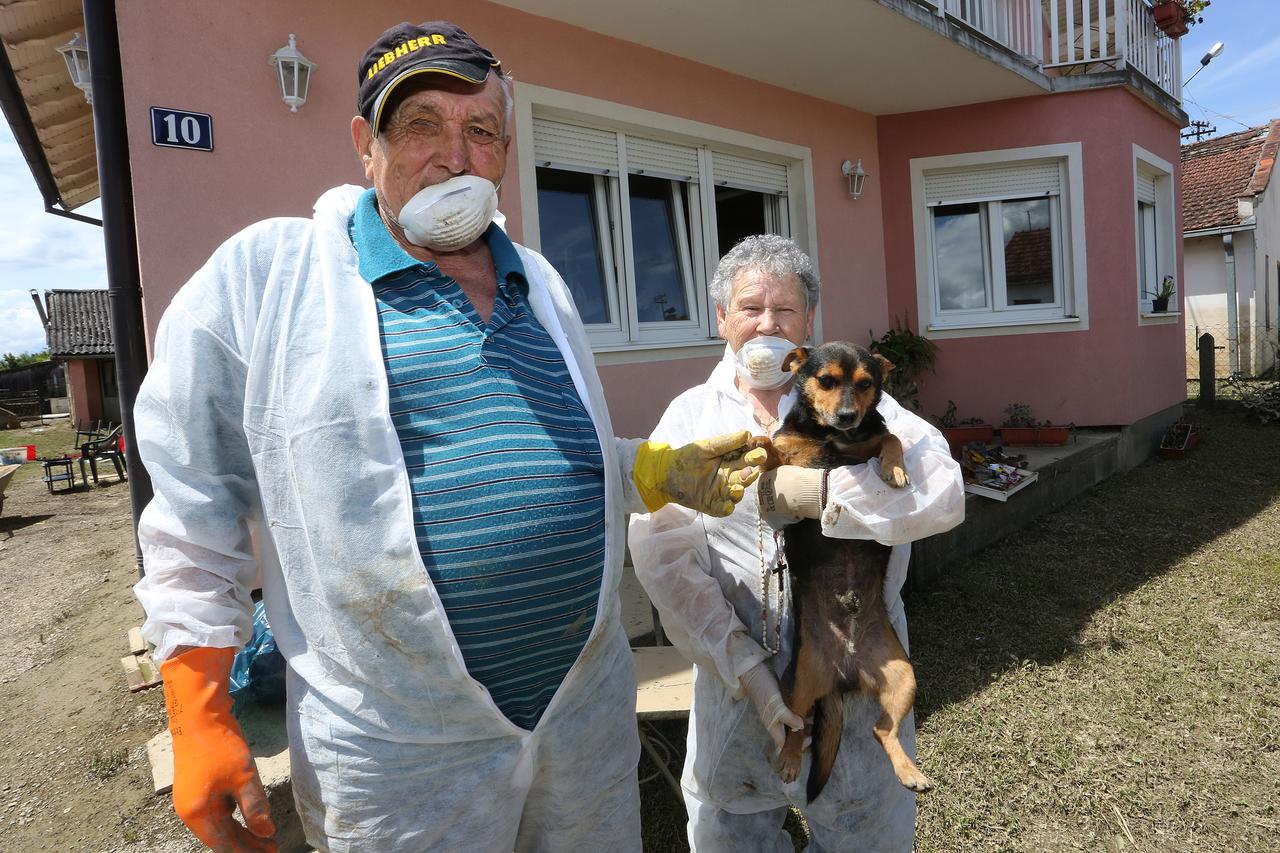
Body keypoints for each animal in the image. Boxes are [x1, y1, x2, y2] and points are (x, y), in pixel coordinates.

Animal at [747, 338, 931, 799]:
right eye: (826, 380)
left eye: (866, 384)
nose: (848, 415)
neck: (832, 437)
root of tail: (843, 677)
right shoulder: (786, 461)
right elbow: (772, 452)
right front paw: (757, 445)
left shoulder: (865, 441)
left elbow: (891, 435)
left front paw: (895, 467)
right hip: (798, 685)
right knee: (795, 728)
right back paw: (789, 761)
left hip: (903, 677)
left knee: (881, 731)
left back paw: (908, 770)